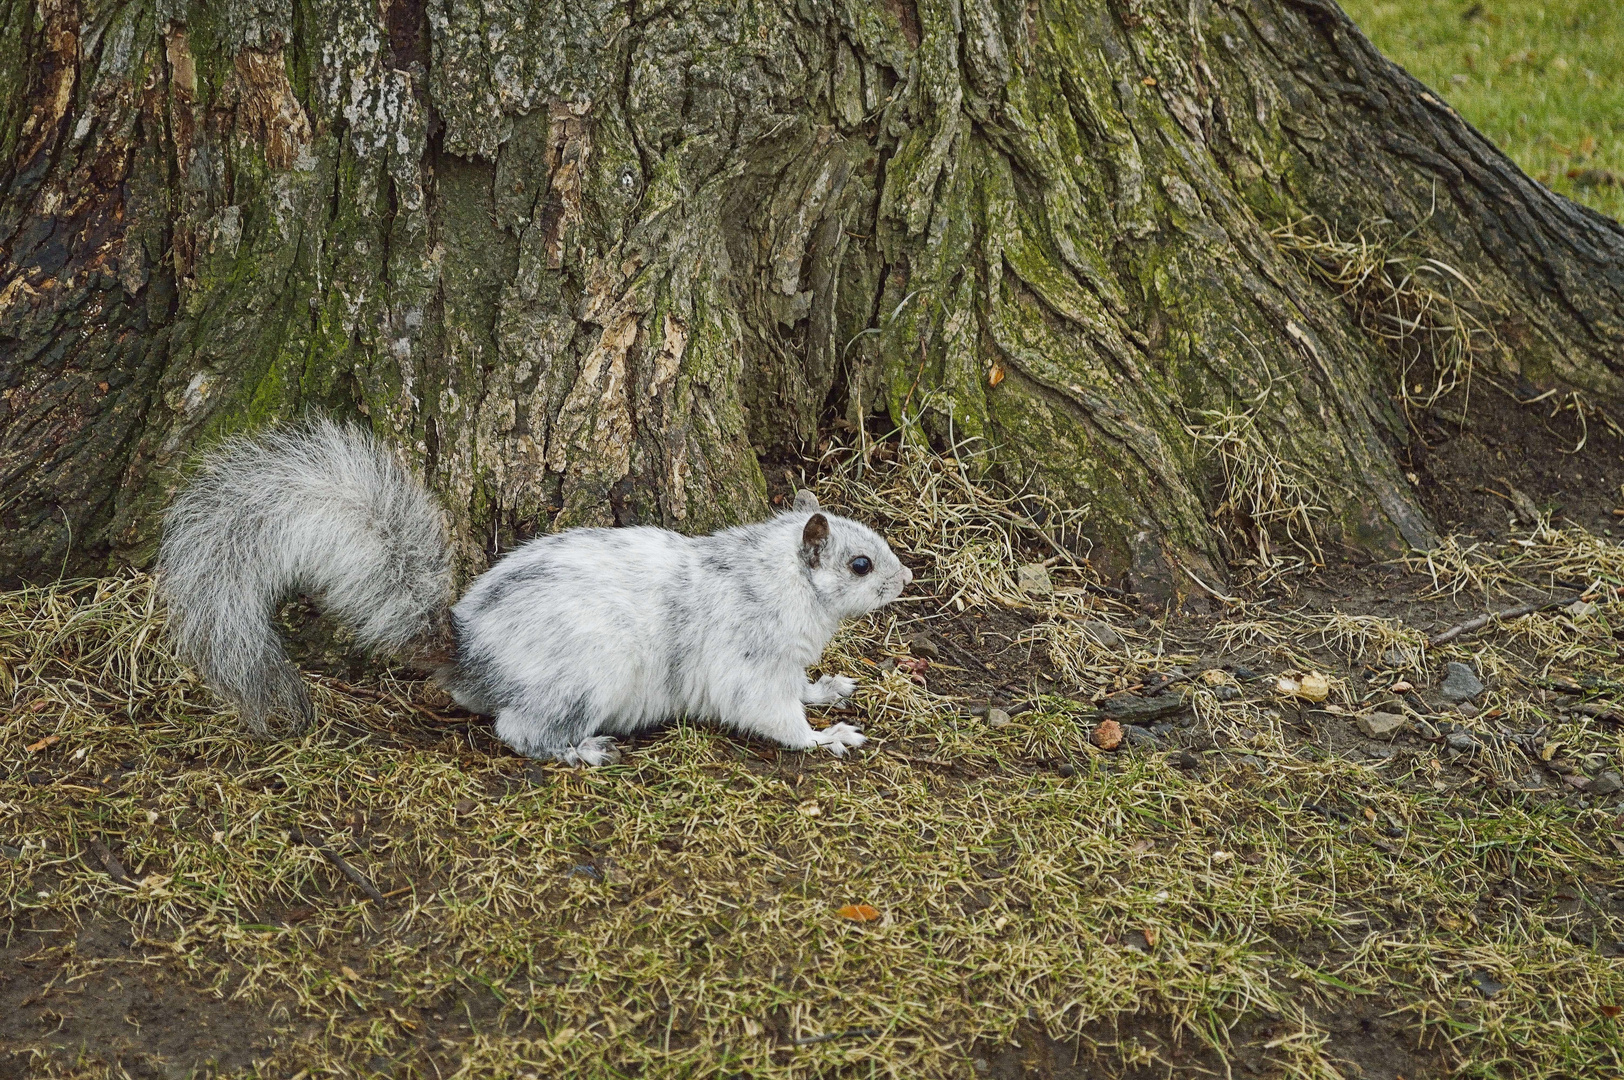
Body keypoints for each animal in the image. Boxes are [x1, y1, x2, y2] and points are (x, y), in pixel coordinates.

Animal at [156, 415, 909, 763]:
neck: (775, 580)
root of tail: (469, 651)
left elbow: (799, 689)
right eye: (860, 564)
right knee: (520, 731)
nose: (905, 580)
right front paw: (828, 737)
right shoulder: (749, 661)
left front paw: (828, 688)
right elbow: (772, 715)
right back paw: (581, 750)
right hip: (585, 678)